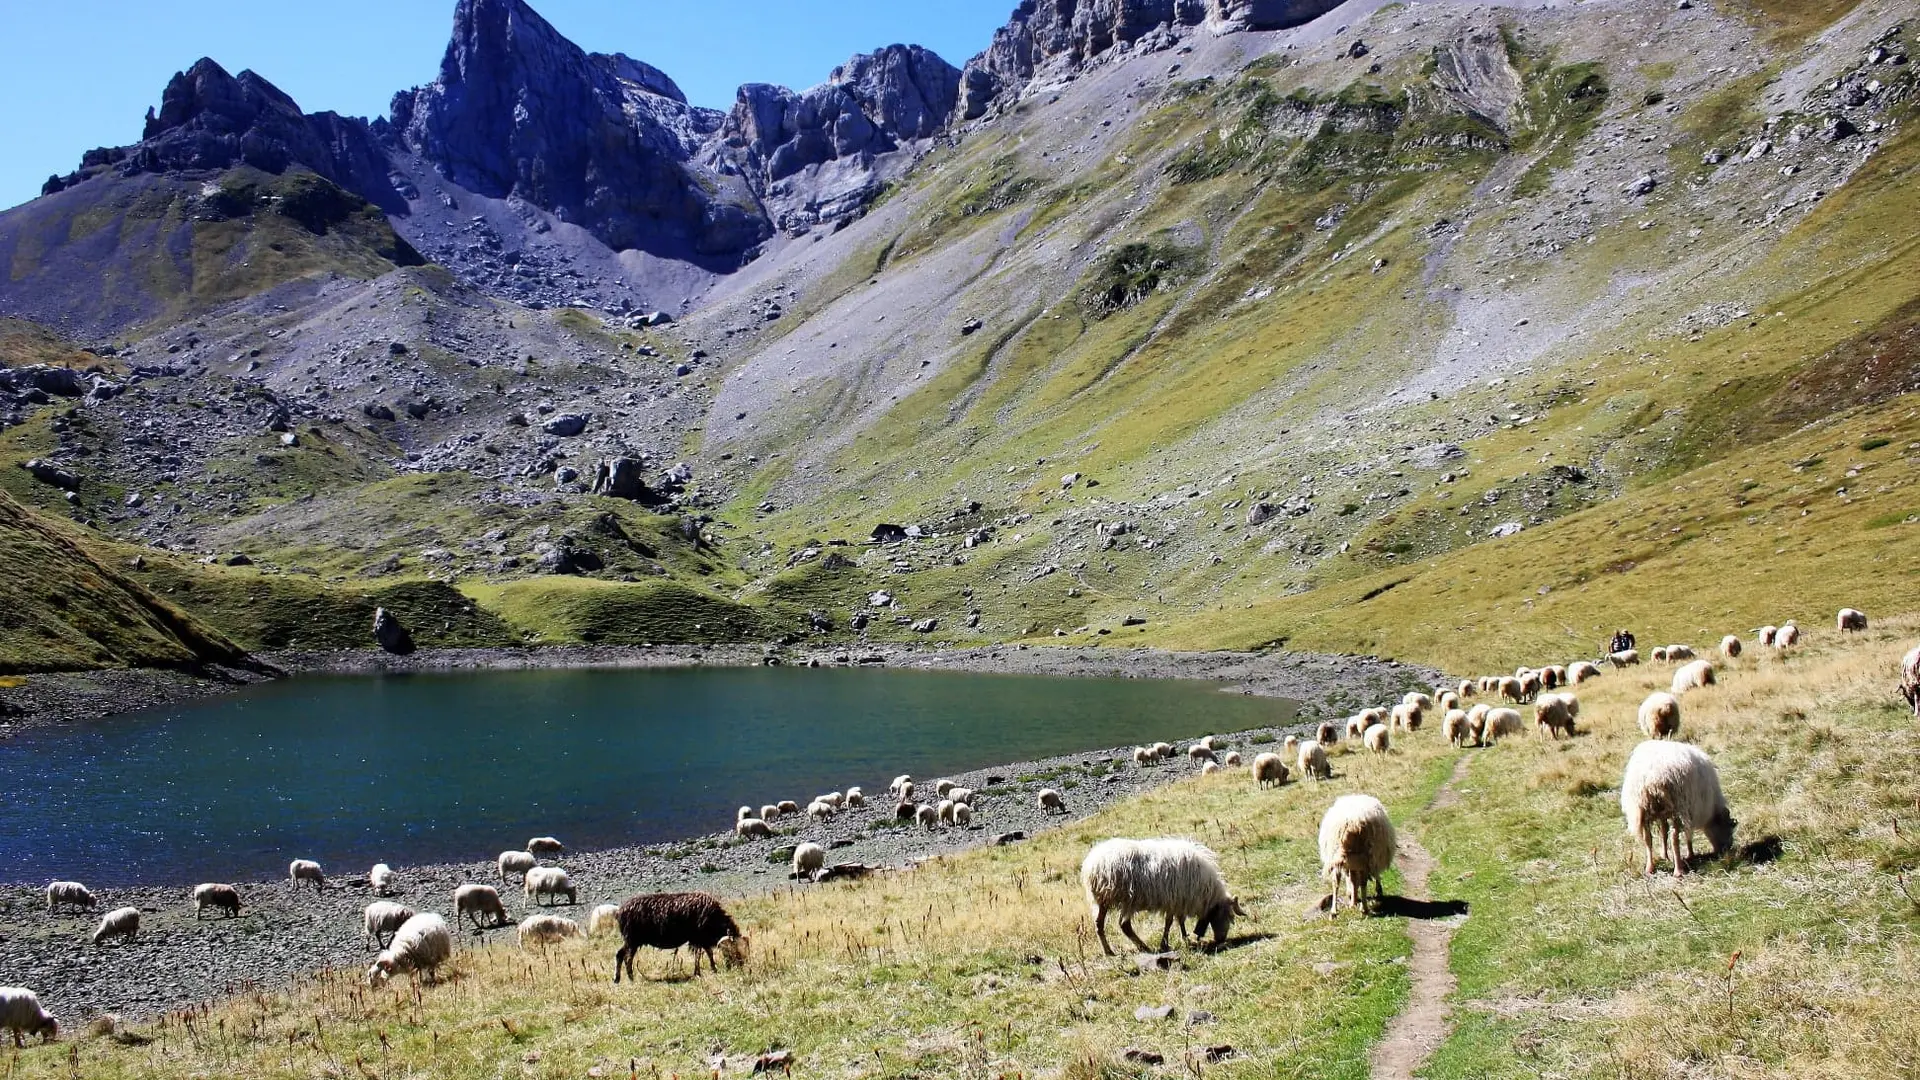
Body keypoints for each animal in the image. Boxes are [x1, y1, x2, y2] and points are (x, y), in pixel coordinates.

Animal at [610, 887, 744, 980]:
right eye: (733, 948)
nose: (740, 965)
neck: (715, 919)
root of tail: (619, 912)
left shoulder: (699, 939)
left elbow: (703, 954)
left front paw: (704, 971)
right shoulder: (699, 938)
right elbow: (704, 954)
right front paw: (706, 971)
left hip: (631, 940)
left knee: (621, 954)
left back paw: (618, 978)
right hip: (632, 939)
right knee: (626, 957)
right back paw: (629, 977)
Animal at [1082, 834, 1244, 949]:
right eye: (1230, 916)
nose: (1221, 939)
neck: (1206, 892)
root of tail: (1091, 865)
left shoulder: (1178, 901)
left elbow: (1179, 921)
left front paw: (1184, 938)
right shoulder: (1175, 899)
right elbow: (1170, 922)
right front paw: (1167, 943)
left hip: (1103, 899)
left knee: (1099, 924)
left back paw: (1109, 951)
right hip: (1127, 899)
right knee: (1124, 925)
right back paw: (1143, 947)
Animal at [1620, 737, 1743, 876]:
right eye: (1728, 828)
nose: (1727, 849)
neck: (1711, 809)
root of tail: (1653, 778)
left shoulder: (1663, 813)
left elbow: (1663, 831)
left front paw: (1664, 855)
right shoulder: (1692, 810)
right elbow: (1688, 834)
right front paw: (1690, 854)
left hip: (1641, 808)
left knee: (1648, 838)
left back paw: (1649, 868)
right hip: (1678, 806)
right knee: (1674, 837)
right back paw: (1678, 871)